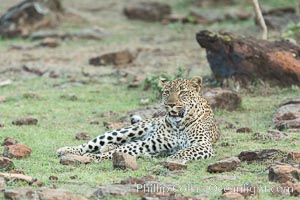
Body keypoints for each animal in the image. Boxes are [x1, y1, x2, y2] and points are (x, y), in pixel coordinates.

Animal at [56, 76, 220, 162]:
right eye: (166, 92)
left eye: (182, 92)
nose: (171, 104)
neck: (179, 125)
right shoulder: (150, 142)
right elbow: (123, 149)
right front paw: (94, 156)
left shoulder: (203, 146)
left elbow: (182, 152)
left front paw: (169, 158)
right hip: (130, 130)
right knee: (93, 143)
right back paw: (66, 150)